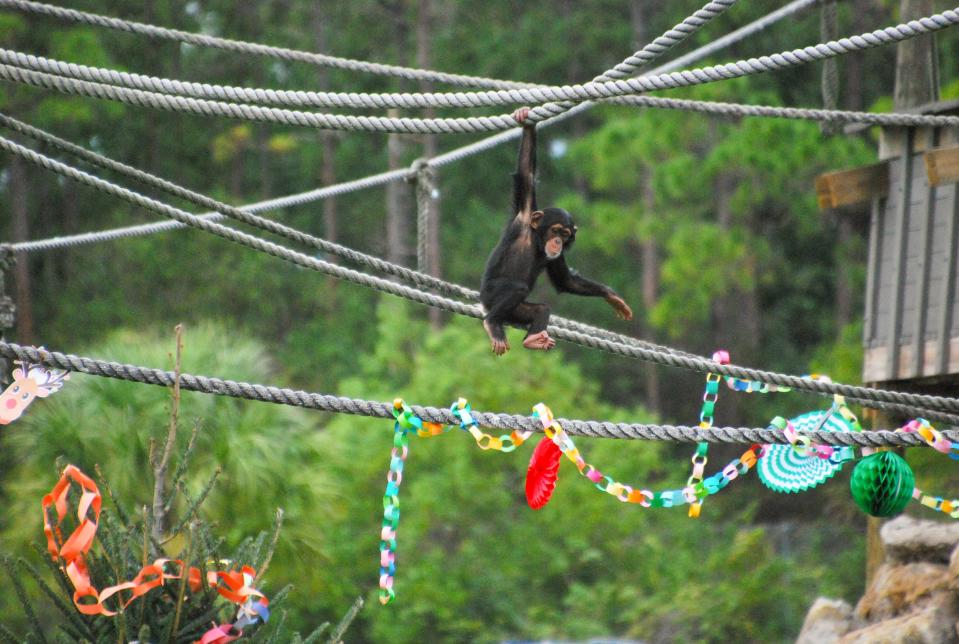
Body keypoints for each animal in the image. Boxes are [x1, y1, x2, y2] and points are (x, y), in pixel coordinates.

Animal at [480, 107, 632, 358]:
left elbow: (565, 281)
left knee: (541, 309)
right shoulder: (524, 213)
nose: (558, 242)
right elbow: (526, 173)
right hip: (490, 296)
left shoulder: (557, 257)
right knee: (517, 288)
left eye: (566, 234)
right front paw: (526, 120)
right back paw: (492, 324)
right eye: (556, 230)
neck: (536, 239)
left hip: (517, 311)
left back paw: (533, 339)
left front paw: (613, 297)